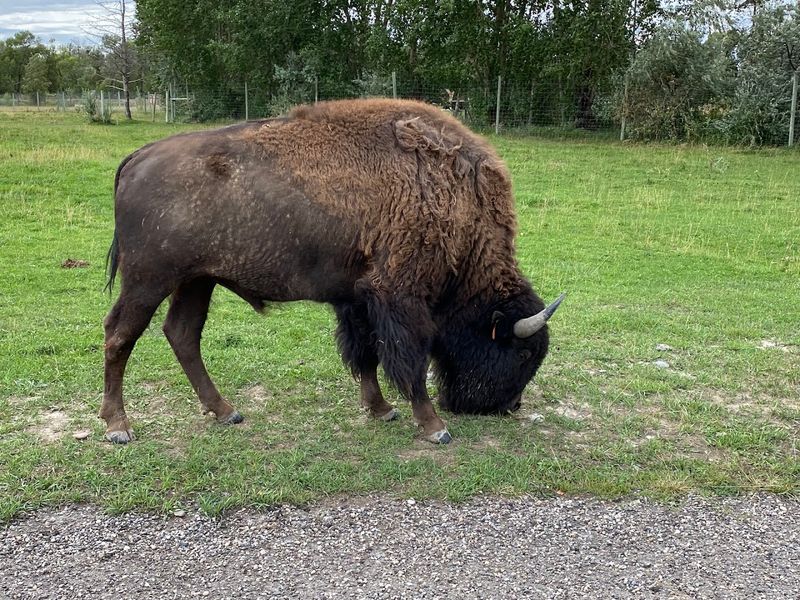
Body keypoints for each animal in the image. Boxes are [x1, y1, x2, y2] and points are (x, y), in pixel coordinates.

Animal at [102, 98, 563, 445]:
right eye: (522, 352)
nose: (509, 406)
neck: (448, 191)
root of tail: (138, 157)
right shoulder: (399, 298)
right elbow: (408, 360)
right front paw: (434, 427)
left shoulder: (357, 298)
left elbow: (366, 354)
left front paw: (381, 410)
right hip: (148, 281)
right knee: (119, 335)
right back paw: (118, 427)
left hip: (197, 281)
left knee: (182, 334)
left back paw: (226, 412)